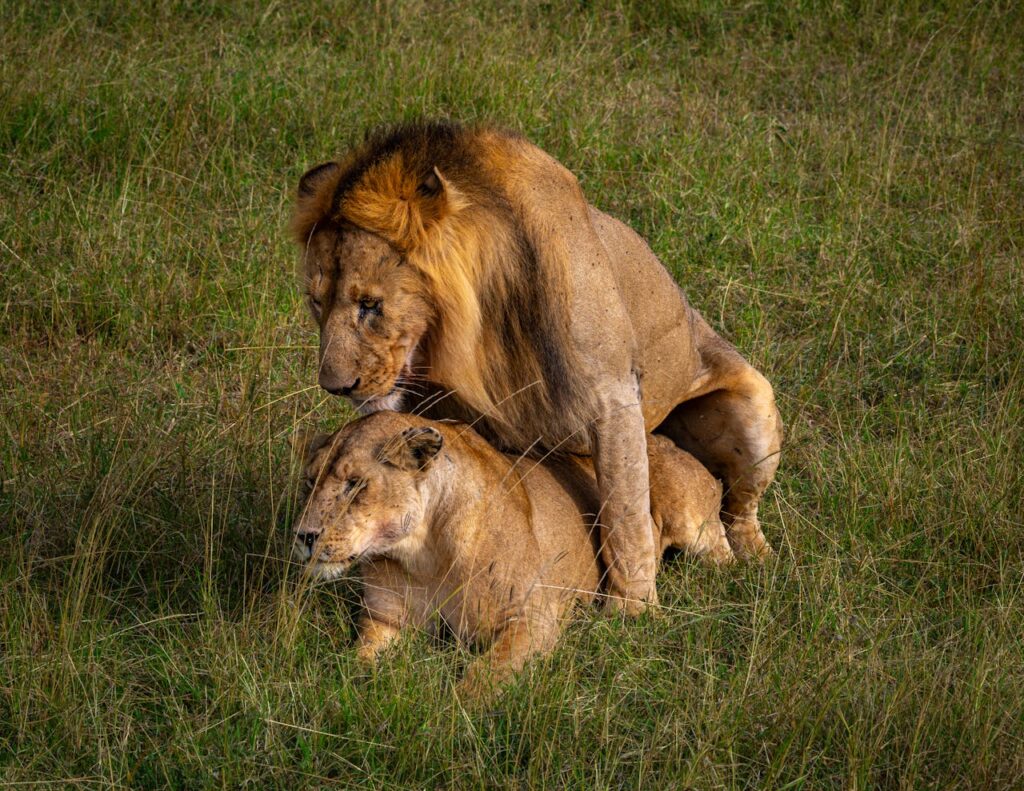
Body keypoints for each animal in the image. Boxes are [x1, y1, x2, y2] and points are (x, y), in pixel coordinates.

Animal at [292, 121, 782, 614]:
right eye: (316, 302)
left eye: (371, 305)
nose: (335, 386)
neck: (480, 331)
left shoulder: (613, 399)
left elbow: (625, 516)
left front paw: (630, 612)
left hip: (754, 410)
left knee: (736, 512)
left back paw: (757, 564)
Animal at [292, 411, 733, 698]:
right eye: (310, 482)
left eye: (354, 484)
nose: (303, 536)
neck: (422, 553)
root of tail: (663, 438)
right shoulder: (385, 620)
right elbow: (356, 662)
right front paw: (348, 688)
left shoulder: (533, 616)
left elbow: (485, 674)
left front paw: (451, 714)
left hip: (689, 520)